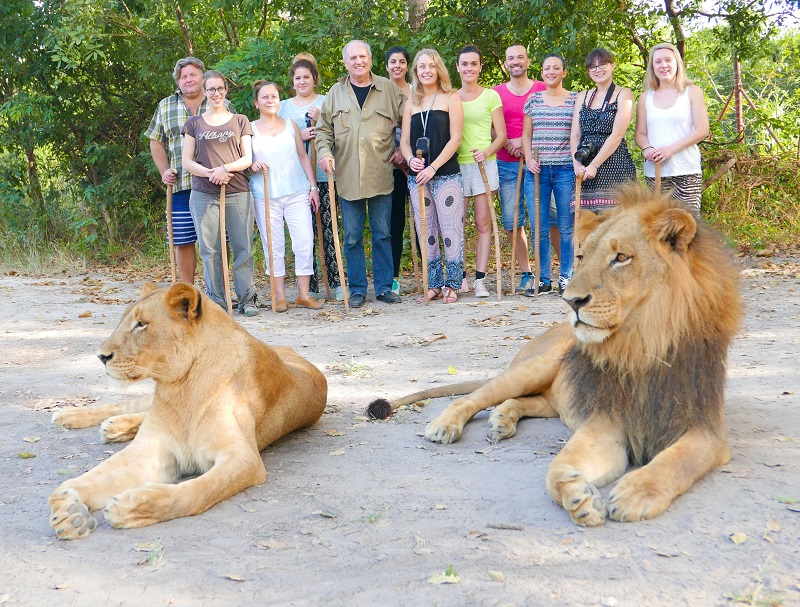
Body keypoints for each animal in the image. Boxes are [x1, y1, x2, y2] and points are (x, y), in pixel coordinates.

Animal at [50, 282, 326, 540]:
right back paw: (70, 417)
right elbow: (98, 476)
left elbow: (198, 491)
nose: (101, 356)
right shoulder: (150, 448)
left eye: (141, 324)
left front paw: (134, 506)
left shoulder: (244, 459)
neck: (181, 390)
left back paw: (112, 427)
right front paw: (67, 505)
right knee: (127, 406)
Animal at [368, 185, 744, 528]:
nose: (571, 301)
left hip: (554, 395)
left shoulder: (706, 431)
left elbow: (677, 460)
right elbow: (557, 468)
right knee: (477, 397)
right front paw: (578, 497)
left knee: (525, 401)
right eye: (581, 257)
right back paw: (445, 425)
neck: (641, 344)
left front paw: (636, 492)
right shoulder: (606, 422)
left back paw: (502, 421)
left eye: (621, 258)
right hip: (536, 366)